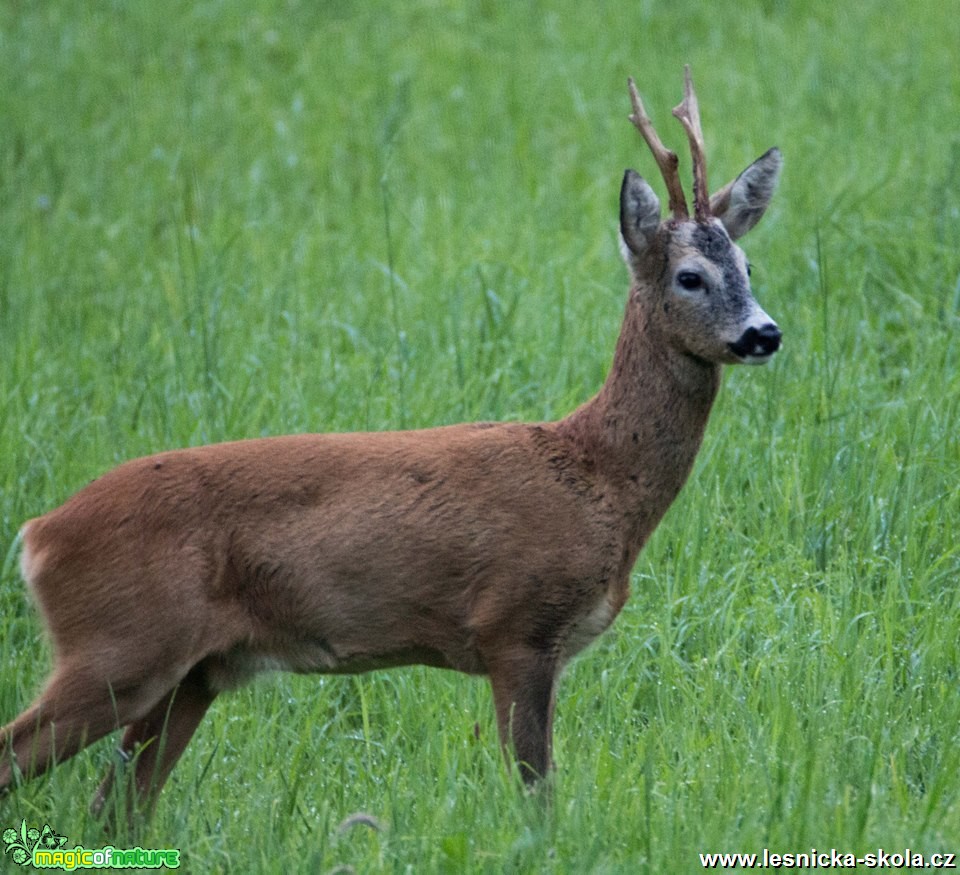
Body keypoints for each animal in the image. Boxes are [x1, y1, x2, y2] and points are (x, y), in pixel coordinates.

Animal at [1, 68, 780, 816]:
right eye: (690, 276)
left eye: (748, 268)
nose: (764, 333)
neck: (598, 477)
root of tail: (39, 534)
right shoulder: (516, 627)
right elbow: (536, 794)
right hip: (119, 646)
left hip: (194, 672)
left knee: (118, 805)